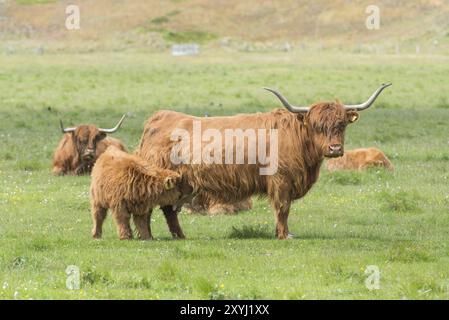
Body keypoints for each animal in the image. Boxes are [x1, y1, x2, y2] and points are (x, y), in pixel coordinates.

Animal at [136, 84, 388, 239]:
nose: (335, 149)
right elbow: (283, 209)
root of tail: (157, 118)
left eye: (341, 124)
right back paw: (148, 237)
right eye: (318, 126)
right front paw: (285, 235)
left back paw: (179, 236)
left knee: (169, 210)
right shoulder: (281, 181)